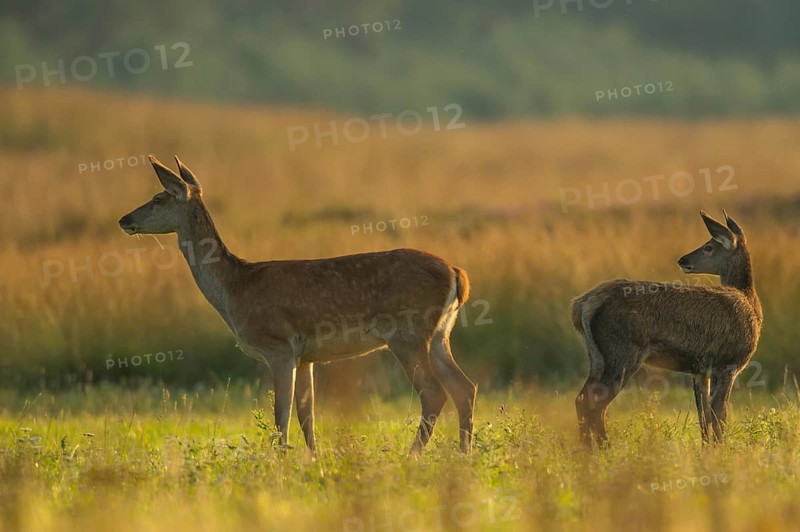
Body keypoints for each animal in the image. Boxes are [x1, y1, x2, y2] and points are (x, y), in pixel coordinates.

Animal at [118, 156, 477, 454]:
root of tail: (457, 273)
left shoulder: (279, 347)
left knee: (434, 392)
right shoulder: (306, 357)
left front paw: (281, 461)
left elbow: (282, 415)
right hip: (440, 334)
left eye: (158, 198)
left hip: (407, 333)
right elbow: (308, 415)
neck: (235, 288)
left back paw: (413, 455)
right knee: (465, 387)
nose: (124, 219)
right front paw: (314, 460)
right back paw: (463, 454)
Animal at [571, 210, 762, 448]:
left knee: (581, 398)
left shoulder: (701, 370)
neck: (750, 300)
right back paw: (604, 447)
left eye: (709, 247)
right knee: (594, 402)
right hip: (622, 354)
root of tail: (582, 305)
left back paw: (588, 448)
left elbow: (704, 415)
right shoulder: (729, 363)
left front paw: (706, 448)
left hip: (598, 357)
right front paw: (720, 448)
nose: (683, 260)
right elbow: (720, 414)